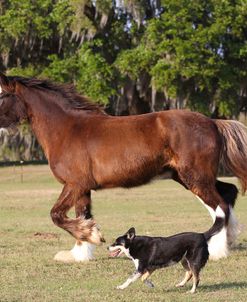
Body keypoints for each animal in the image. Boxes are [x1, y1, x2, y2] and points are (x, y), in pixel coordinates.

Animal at [0, 72, 246, 260]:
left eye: (2, 95)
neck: (68, 129)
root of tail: (212, 122)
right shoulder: (82, 188)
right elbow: (83, 214)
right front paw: (80, 252)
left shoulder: (74, 184)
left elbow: (57, 215)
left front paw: (93, 236)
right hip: (188, 177)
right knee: (226, 195)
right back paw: (227, 241)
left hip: (195, 176)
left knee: (220, 206)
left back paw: (217, 251)